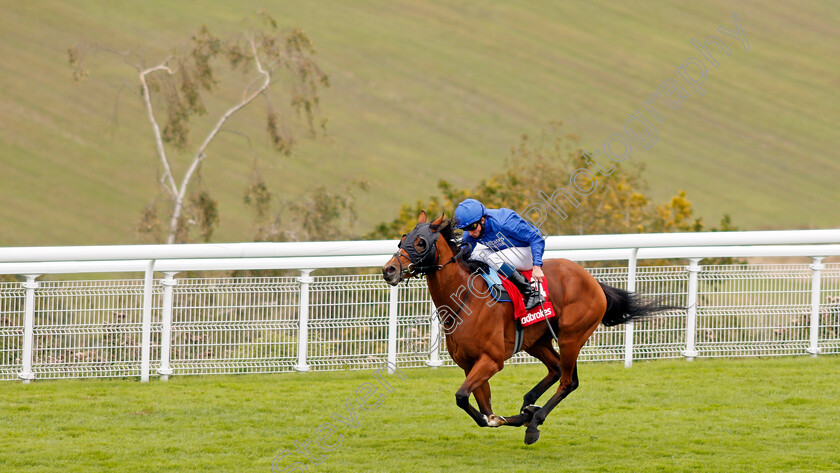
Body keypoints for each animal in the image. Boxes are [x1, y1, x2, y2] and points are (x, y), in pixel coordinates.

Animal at [380, 212, 676, 444]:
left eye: (420, 243)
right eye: (401, 240)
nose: (389, 270)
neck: (464, 300)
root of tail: (593, 281)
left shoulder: (492, 360)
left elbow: (463, 397)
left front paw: (507, 419)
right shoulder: (469, 364)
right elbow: (481, 407)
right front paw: (503, 417)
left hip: (571, 337)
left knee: (568, 381)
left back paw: (534, 422)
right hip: (537, 341)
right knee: (555, 369)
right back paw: (528, 407)